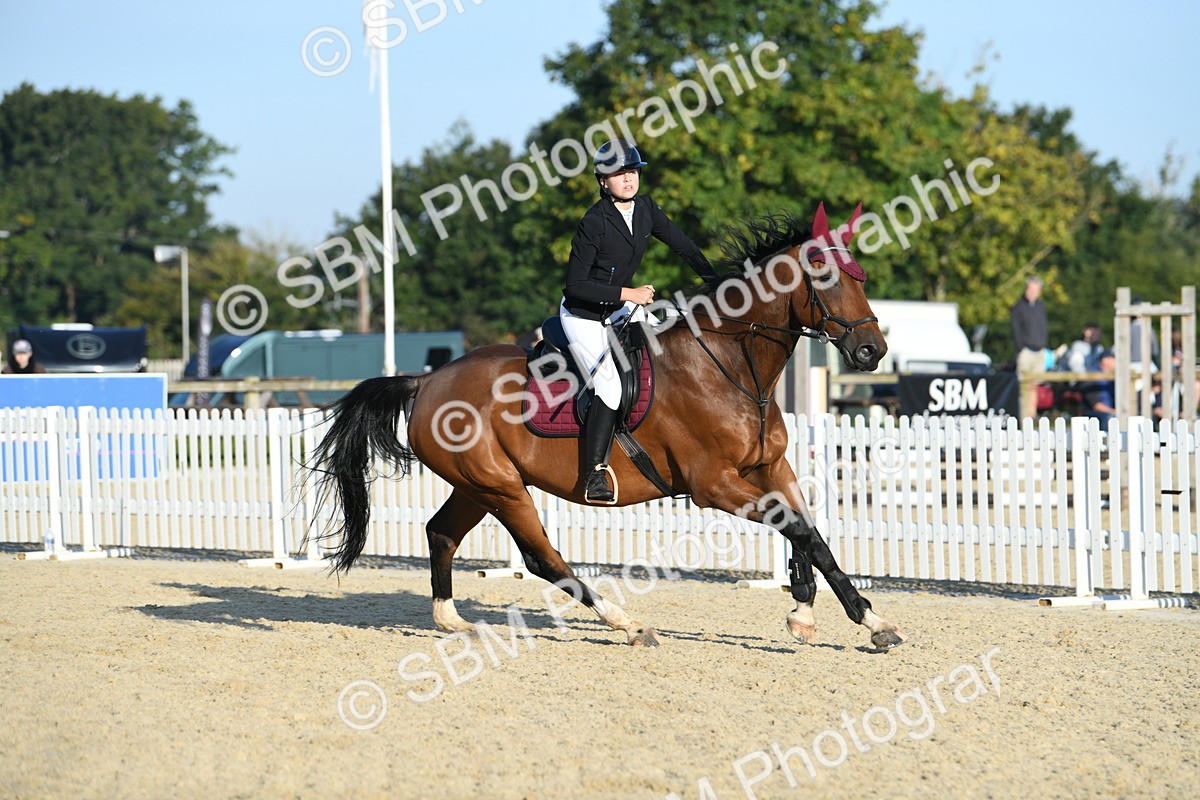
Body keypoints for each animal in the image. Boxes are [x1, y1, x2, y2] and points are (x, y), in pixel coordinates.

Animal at [307, 202, 906, 650]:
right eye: (827, 278)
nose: (872, 351)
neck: (731, 365)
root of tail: (426, 381)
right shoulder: (713, 485)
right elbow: (799, 528)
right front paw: (856, 618)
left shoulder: (772, 467)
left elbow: (810, 533)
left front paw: (821, 613)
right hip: (501, 488)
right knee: (540, 558)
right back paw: (628, 623)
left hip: (477, 485)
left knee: (441, 532)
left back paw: (453, 620)